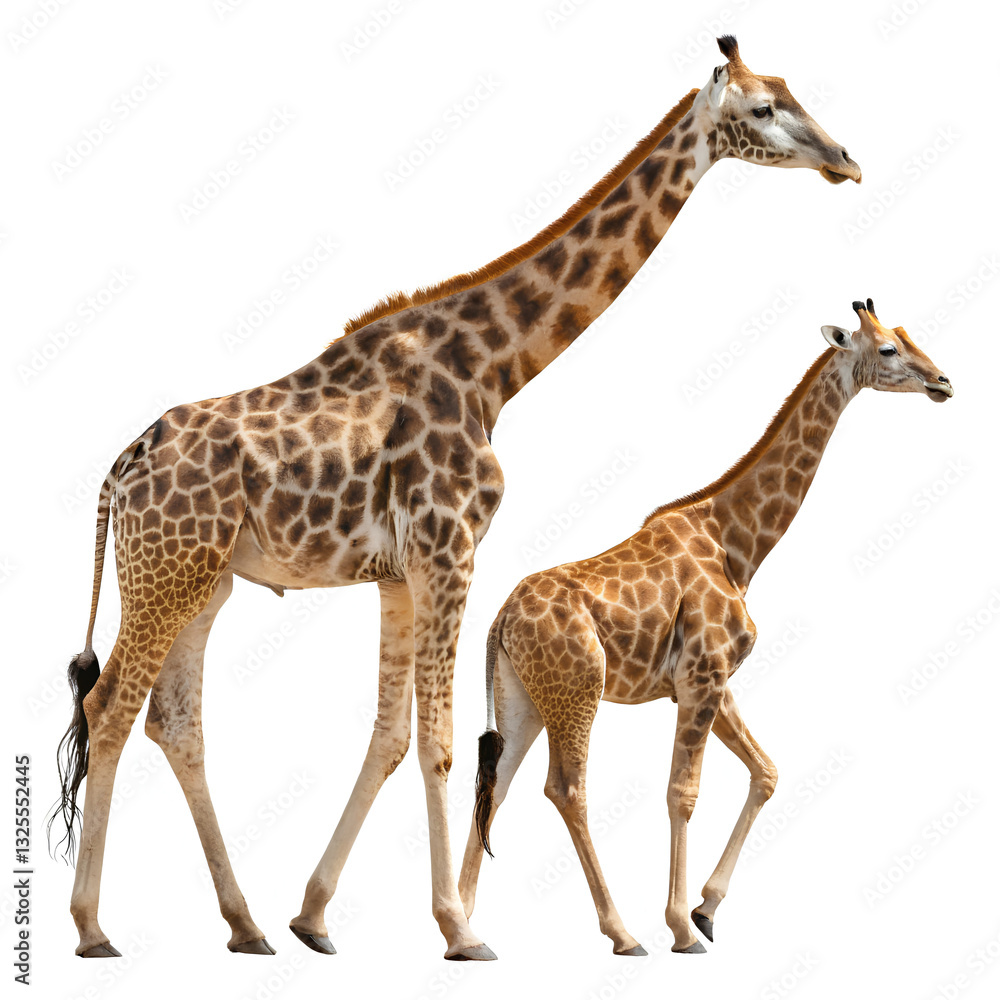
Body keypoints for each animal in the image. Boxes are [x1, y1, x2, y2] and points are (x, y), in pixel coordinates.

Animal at [50, 36, 861, 960]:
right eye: (762, 108)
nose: (844, 159)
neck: (495, 369)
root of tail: (119, 470)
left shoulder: (401, 572)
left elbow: (393, 736)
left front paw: (314, 917)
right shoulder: (450, 549)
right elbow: (439, 743)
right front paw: (459, 928)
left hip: (202, 580)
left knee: (175, 721)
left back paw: (246, 924)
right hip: (165, 571)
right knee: (111, 706)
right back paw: (93, 927)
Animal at [458, 300, 954, 956]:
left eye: (906, 335)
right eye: (889, 349)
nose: (944, 383)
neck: (737, 544)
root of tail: (500, 620)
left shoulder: (710, 682)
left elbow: (766, 771)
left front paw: (706, 909)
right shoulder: (701, 675)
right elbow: (683, 792)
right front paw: (679, 925)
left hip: (524, 697)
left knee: (499, 782)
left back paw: (465, 931)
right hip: (577, 692)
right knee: (565, 789)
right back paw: (621, 932)